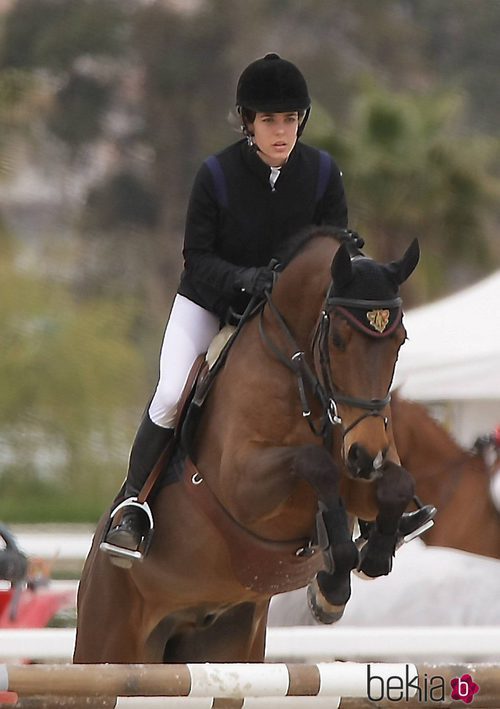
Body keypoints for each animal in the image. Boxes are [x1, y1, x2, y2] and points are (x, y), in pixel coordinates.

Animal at [74, 228, 420, 664]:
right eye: (339, 340)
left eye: (401, 341)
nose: (366, 455)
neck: (303, 380)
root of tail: (88, 574)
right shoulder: (244, 485)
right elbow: (314, 463)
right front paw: (335, 577)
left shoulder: (362, 473)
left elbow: (398, 484)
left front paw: (370, 557)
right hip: (110, 643)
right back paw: (127, 530)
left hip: (226, 642)